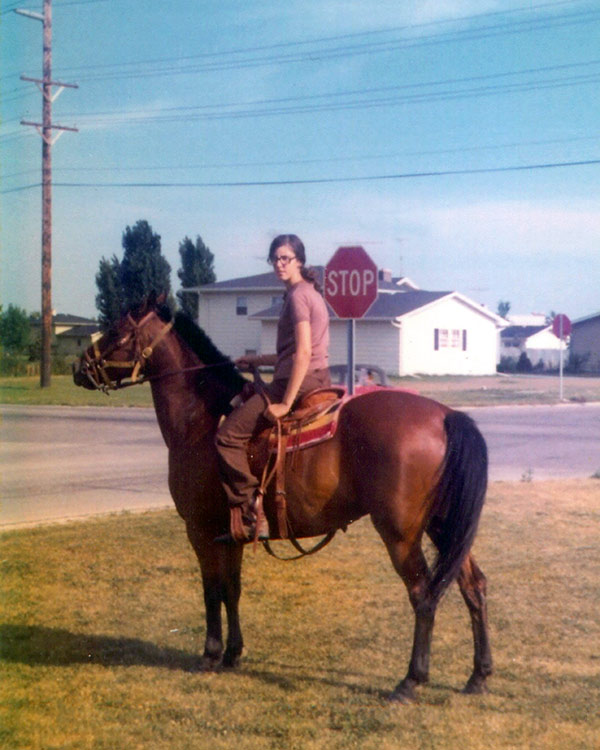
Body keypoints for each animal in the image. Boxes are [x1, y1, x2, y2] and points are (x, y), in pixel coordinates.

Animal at [74, 296, 492, 704]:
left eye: (118, 331)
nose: (78, 366)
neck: (201, 422)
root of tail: (444, 415)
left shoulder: (200, 531)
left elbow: (211, 591)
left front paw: (210, 654)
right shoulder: (231, 533)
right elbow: (231, 589)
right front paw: (232, 653)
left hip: (401, 534)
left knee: (423, 594)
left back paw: (410, 681)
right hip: (443, 526)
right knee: (473, 585)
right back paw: (479, 675)